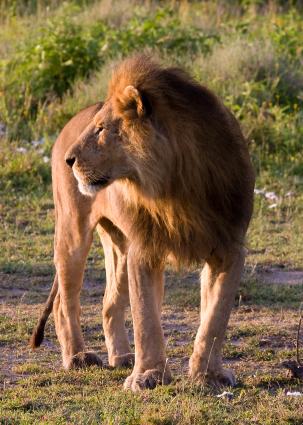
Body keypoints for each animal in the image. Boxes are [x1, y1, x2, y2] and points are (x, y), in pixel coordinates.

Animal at [30, 54, 255, 390]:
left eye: (101, 129)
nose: (70, 161)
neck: (176, 187)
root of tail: (67, 125)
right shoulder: (145, 249)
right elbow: (146, 318)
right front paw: (148, 376)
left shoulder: (228, 247)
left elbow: (215, 319)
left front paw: (208, 375)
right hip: (72, 231)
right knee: (63, 302)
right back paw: (78, 357)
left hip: (119, 246)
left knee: (109, 305)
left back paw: (122, 356)